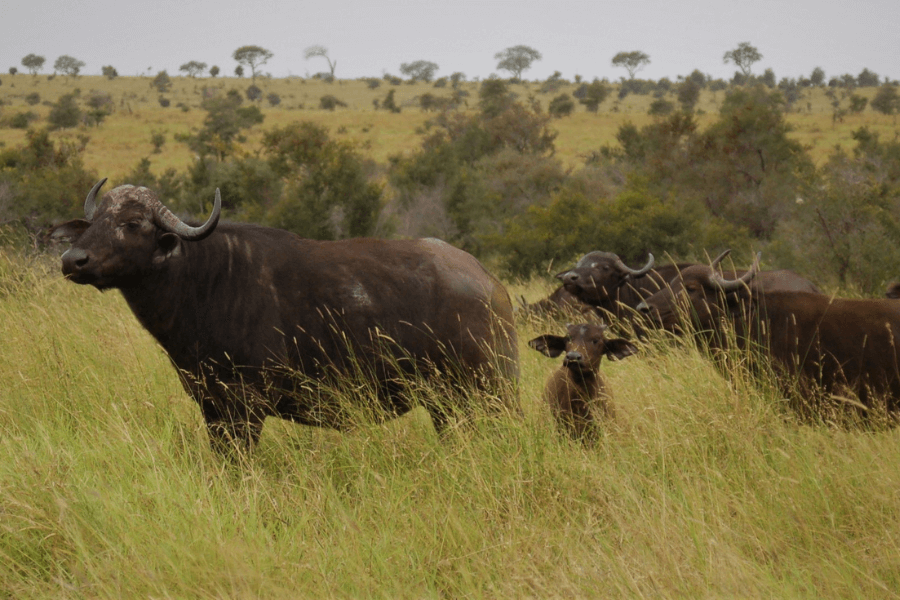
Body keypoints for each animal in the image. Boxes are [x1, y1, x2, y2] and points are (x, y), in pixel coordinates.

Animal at [54, 180, 520, 453]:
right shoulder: (212, 407)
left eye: (133, 223)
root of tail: (491, 285)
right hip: (446, 403)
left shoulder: (245, 409)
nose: (73, 260)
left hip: (485, 393)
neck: (203, 280)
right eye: (94, 221)